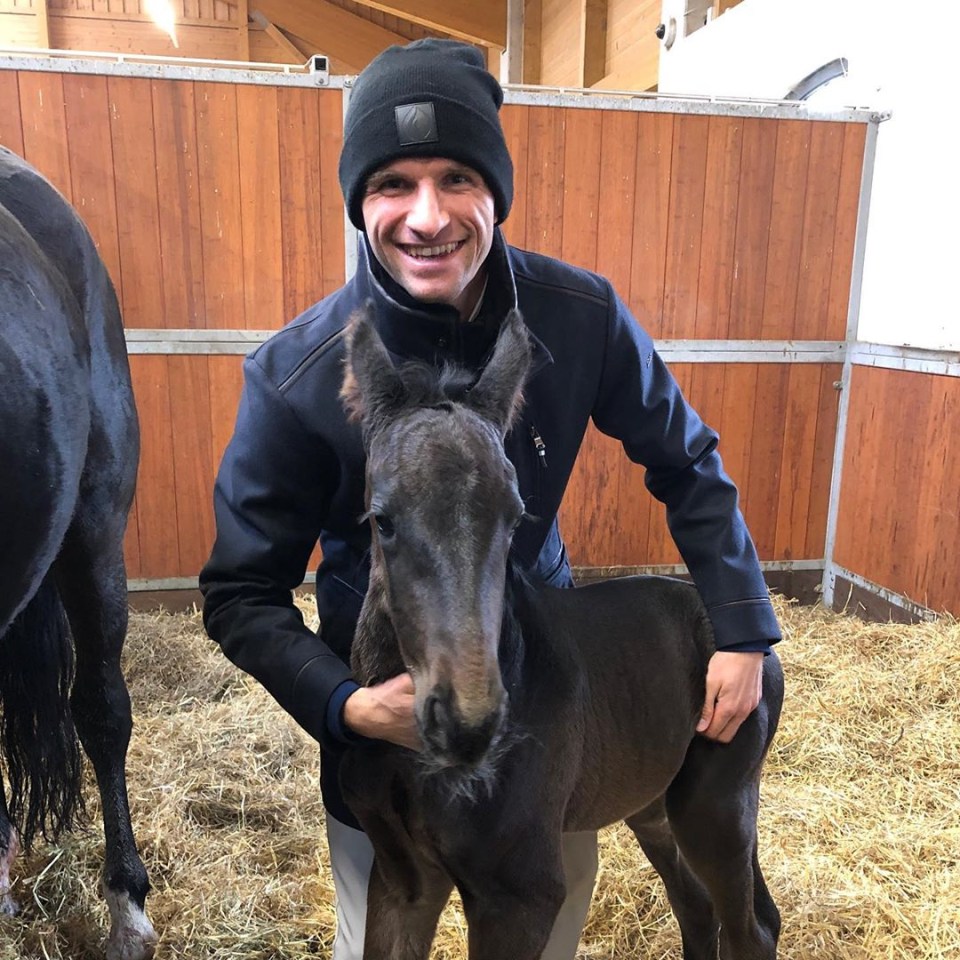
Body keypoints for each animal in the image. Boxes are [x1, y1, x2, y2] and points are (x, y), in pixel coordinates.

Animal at [342, 310, 784, 960]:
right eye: (382, 520)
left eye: (514, 516)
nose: (469, 724)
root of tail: (756, 648)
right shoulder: (403, 880)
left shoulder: (520, 893)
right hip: (653, 806)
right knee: (697, 907)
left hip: (716, 807)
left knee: (751, 927)